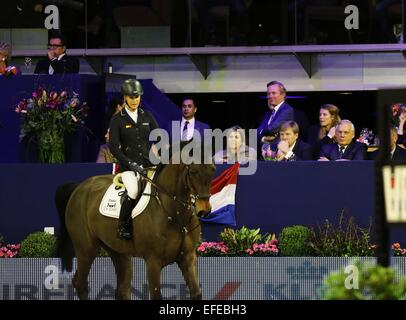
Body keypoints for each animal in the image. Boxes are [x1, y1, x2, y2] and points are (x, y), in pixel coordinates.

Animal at [56, 149, 219, 298]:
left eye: (213, 169)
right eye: (193, 171)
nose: (204, 210)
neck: (175, 214)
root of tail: (79, 187)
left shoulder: (188, 257)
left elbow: (196, 293)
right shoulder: (153, 261)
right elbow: (156, 295)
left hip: (118, 252)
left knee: (122, 289)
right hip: (86, 248)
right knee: (80, 282)